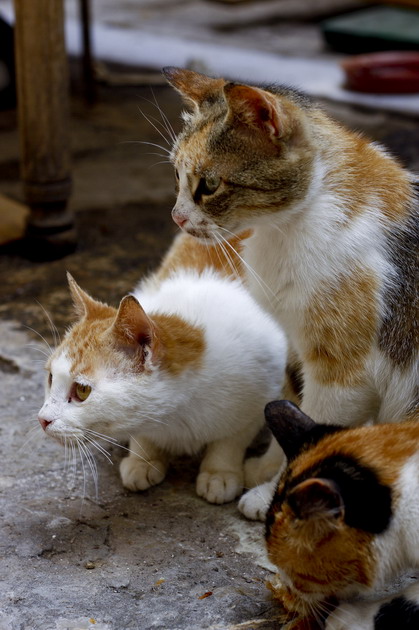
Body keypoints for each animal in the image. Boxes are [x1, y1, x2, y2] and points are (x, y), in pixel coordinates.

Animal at [37, 235, 288, 506]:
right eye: (50, 378)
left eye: (82, 390)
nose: (42, 419)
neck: (176, 415)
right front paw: (143, 458)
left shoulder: (262, 390)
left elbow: (232, 439)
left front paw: (219, 471)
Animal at [162, 64, 418, 520]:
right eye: (176, 173)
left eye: (209, 184)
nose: (177, 217)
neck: (283, 231)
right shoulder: (296, 346)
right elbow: (291, 414)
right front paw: (264, 471)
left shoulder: (342, 375)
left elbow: (316, 432)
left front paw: (271, 495)